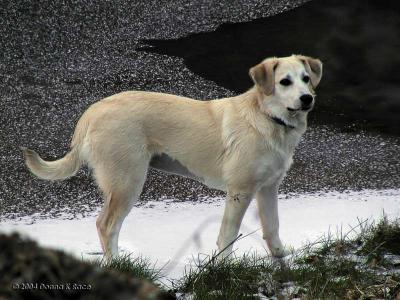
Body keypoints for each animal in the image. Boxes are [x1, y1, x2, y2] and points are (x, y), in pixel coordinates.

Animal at [21, 55, 322, 258]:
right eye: (284, 82)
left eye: (306, 79)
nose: (307, 98)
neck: (267, 118)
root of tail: (92, 111)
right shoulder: (240, 191)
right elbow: (228, 234)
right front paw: (224, 266)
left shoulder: (268, 188)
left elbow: (273, 226)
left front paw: (281, 258)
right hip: (127, 182)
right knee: (106, 226)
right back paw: (117, 265)